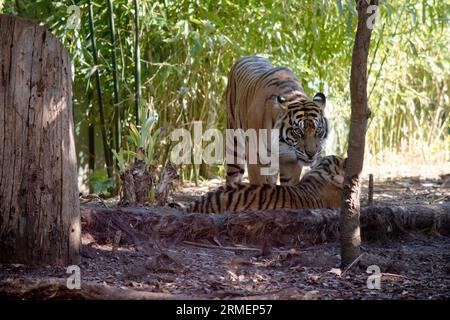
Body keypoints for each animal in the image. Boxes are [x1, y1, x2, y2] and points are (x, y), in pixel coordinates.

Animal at [227, 55, 328, 185]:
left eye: (318, 130)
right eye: (297, 131)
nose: (311, 154)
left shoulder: (292, 161)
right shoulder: (256, 158)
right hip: (234, 145)